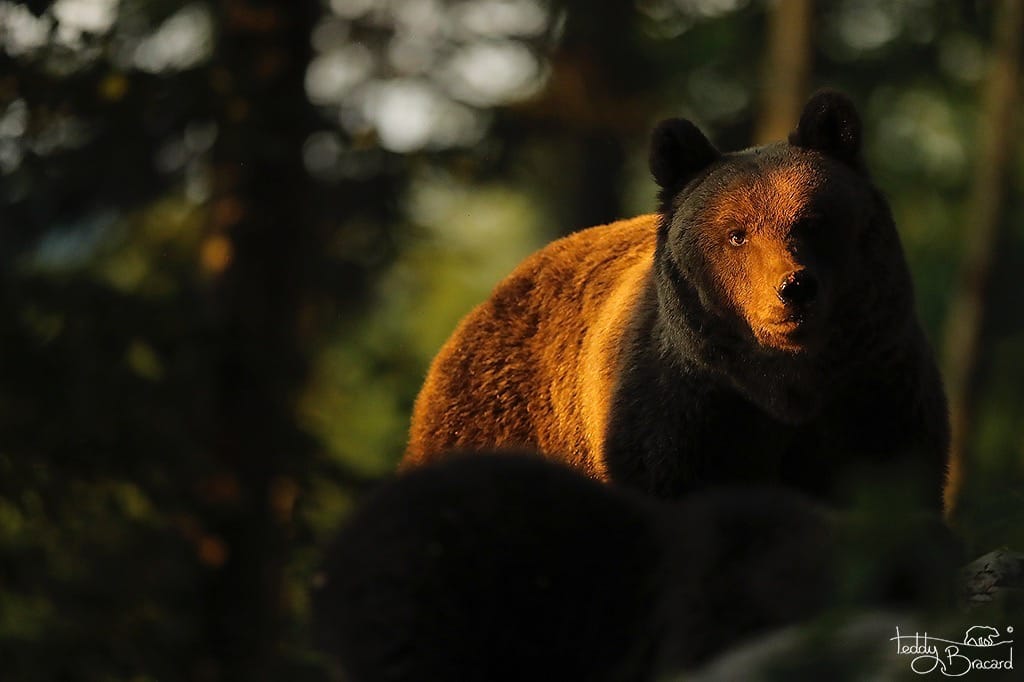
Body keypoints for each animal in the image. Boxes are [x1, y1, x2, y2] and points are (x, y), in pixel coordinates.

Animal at [403, 91, 950, 510]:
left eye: (812, 220)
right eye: (736, 234)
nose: (793, 288)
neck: (782, 387)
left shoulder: (876, 389)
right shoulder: (679, 413)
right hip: (497, 421)